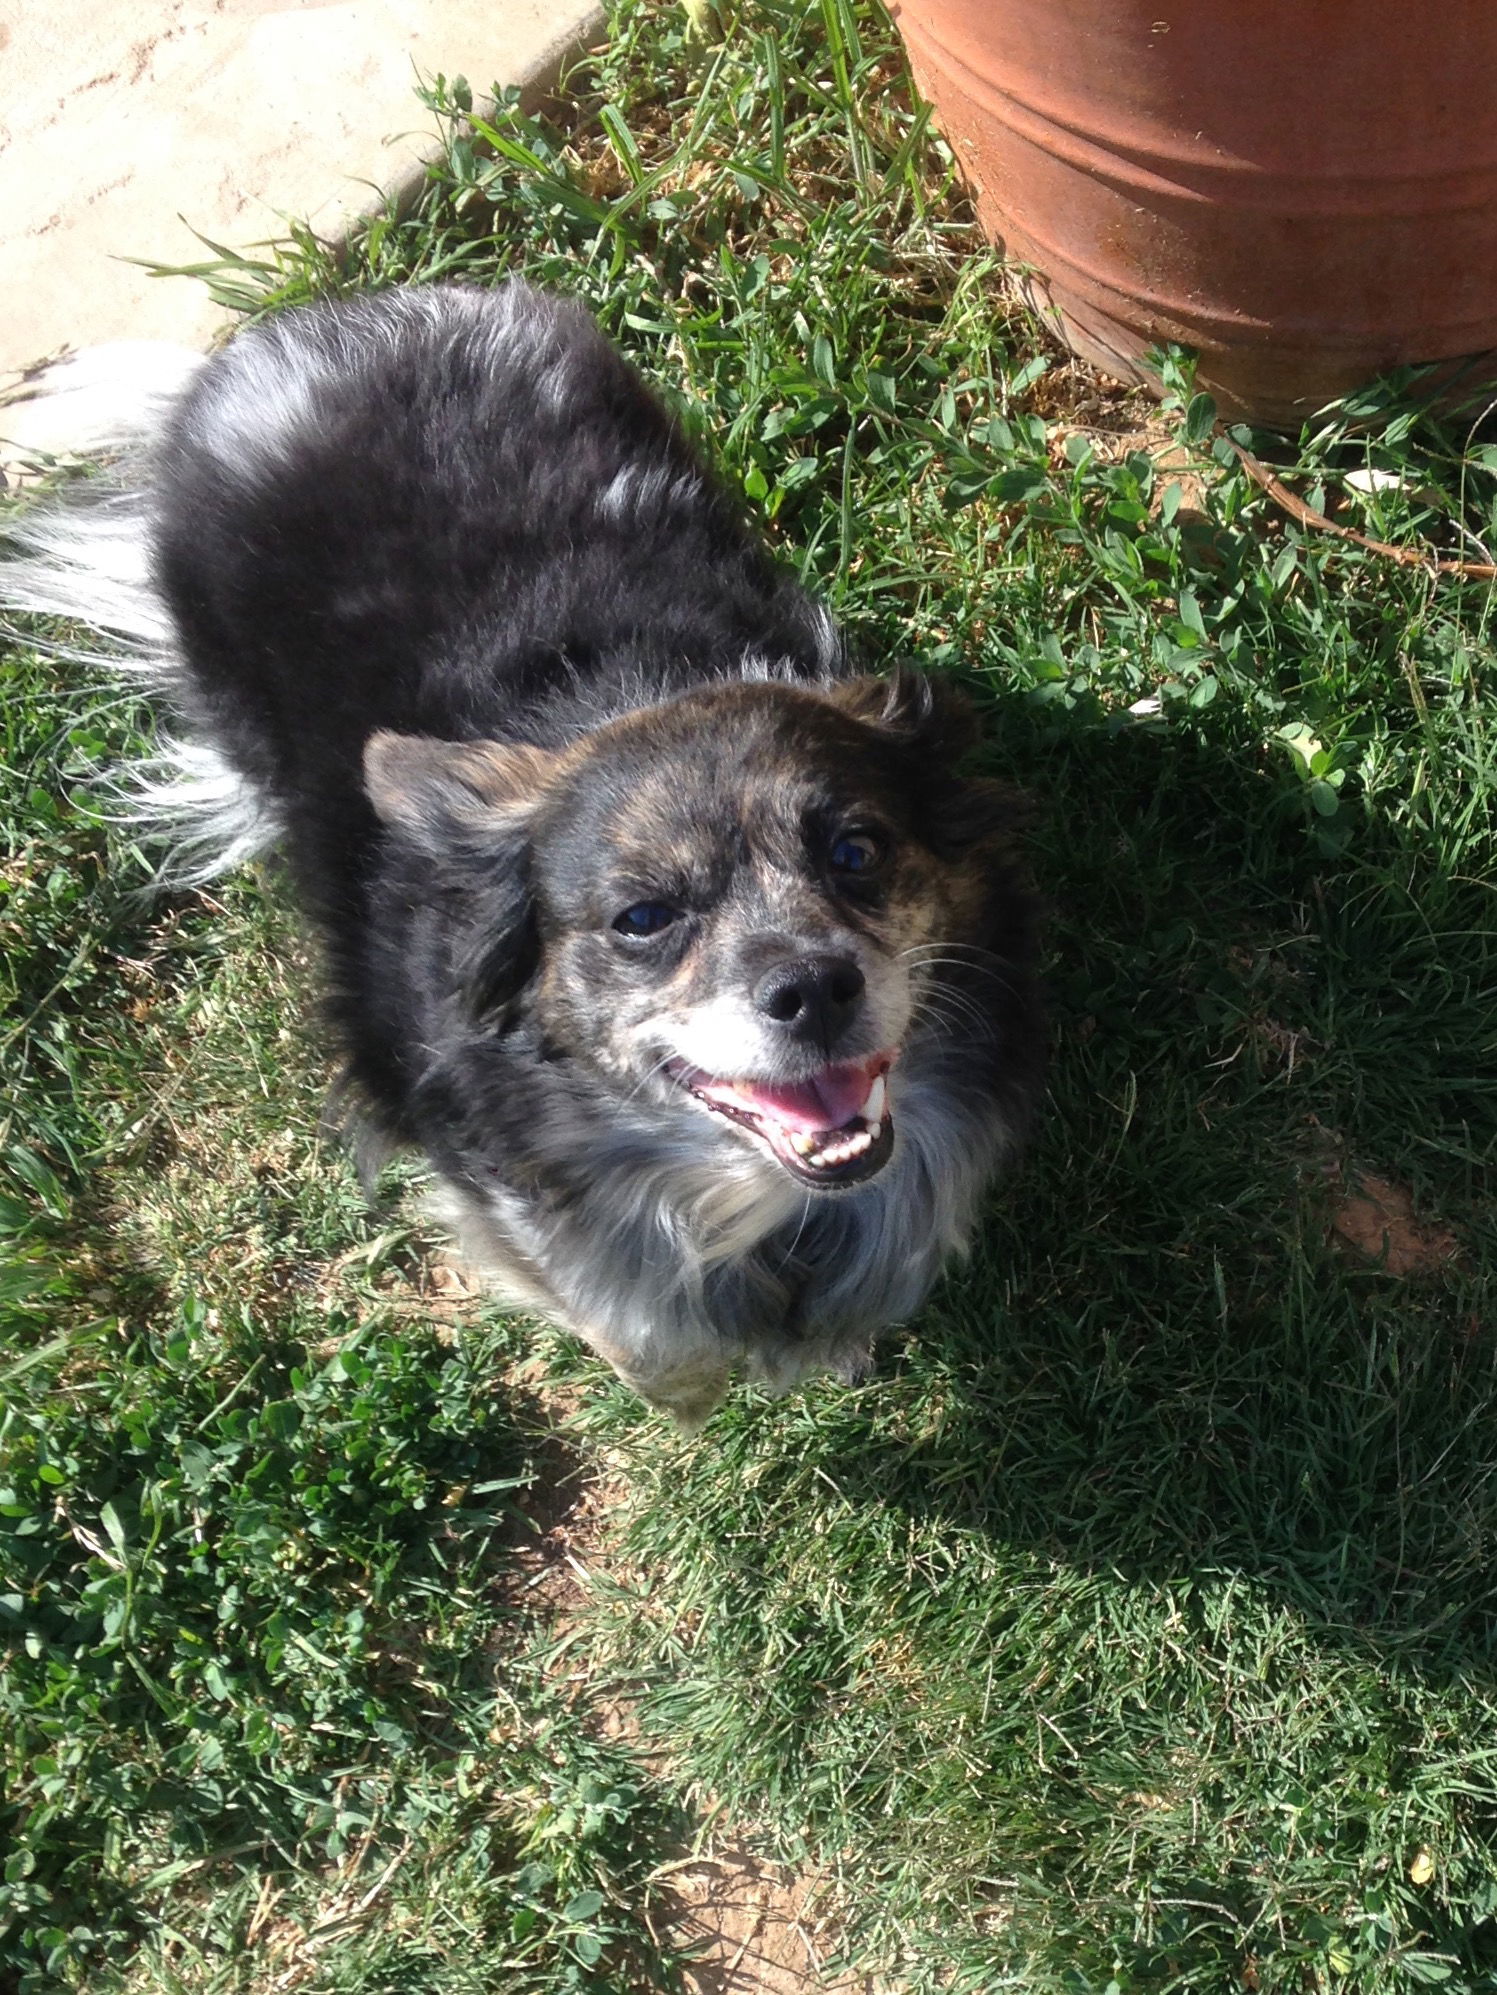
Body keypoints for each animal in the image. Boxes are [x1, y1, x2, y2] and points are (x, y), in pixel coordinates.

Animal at [2, 285, 1045, 1436]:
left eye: (855, 849)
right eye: (643, 919)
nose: (814, 988)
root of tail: (296, 330)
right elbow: (628, 1326)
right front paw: (683, 1386)